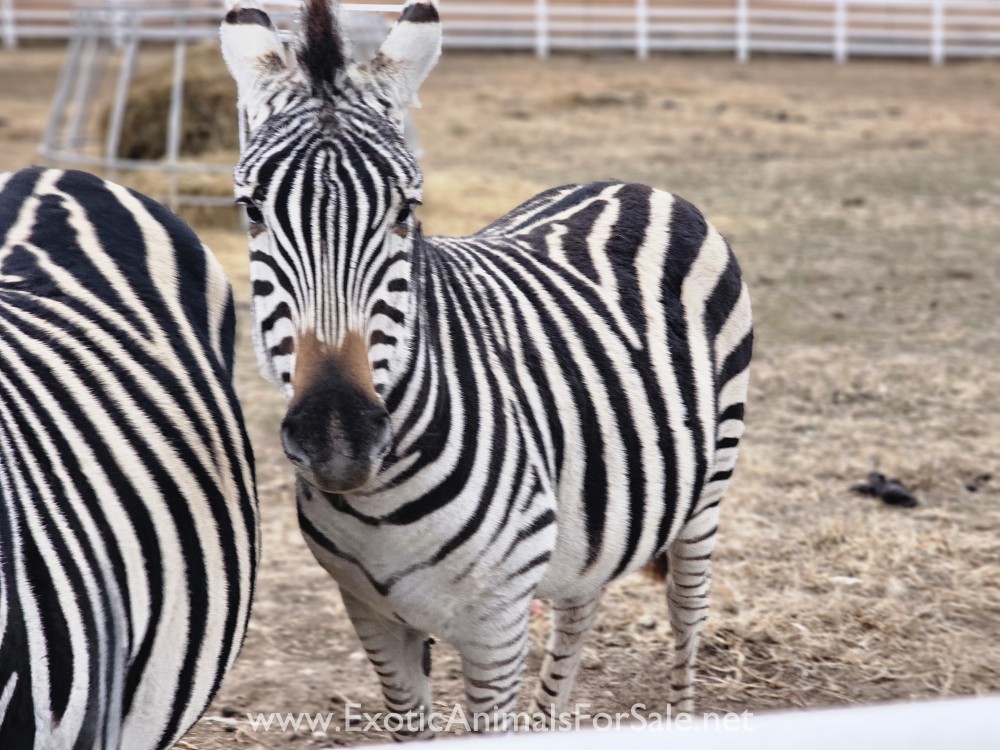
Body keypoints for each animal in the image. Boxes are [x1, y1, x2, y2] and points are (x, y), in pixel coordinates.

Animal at [221, 0, 752, 737]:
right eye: (252, 210)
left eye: (406, 209)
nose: (338, 436)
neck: (381, 504)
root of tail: (630, 183)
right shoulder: (371, 614)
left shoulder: (495, 626)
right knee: (581, 607)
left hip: (706, 493)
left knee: (685, 619)